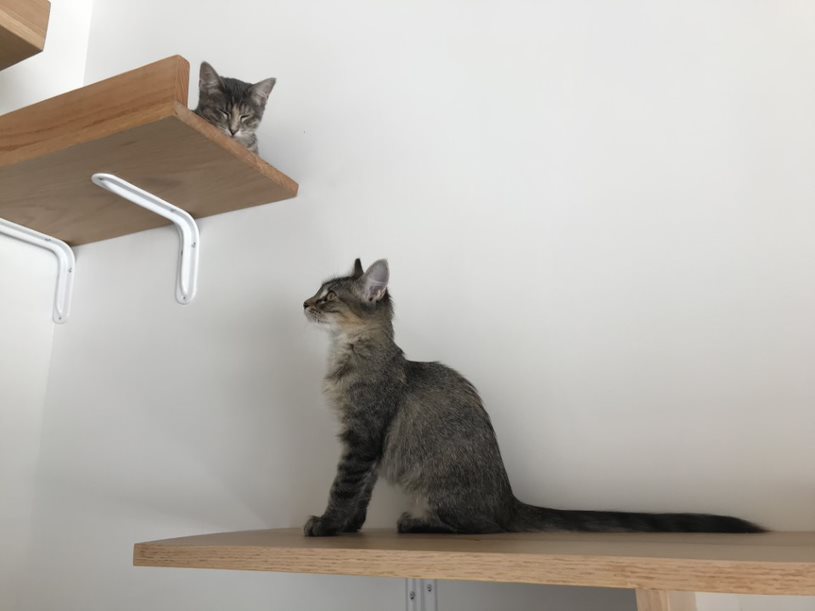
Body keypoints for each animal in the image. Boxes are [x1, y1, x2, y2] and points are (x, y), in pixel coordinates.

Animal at [302, 258, 764, 536]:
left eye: (328, 297)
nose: (305, 303)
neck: (345, 352)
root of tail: (509, 500)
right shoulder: (366, 445)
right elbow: (360, 494)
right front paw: (348, 527)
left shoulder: (362, 436)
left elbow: (343, 488)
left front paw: (326, 525)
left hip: (439, 489)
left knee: (479, 525)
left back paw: (416, 523)